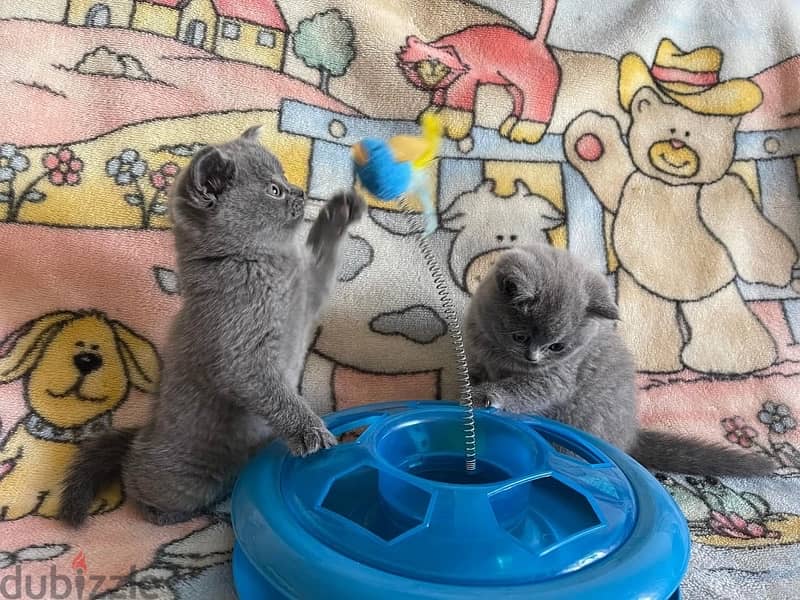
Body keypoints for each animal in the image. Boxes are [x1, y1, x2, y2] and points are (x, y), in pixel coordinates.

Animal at [59, 126, 366, 524]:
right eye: (274, 190)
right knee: (137, 479)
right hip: (180, 478)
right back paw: (173, 513)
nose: (299, 191)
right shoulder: (241, 355)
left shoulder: (308, 295)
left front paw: (340, 210)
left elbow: (324, 255)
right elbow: (277, 395)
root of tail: (143, 433)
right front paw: (310, 432)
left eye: (284, 178)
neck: (264, 264)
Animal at [468, 241, 776, 476]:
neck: (500, 356)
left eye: (557, 346)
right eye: (520, 337)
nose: (532, 358)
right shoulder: (480, 355)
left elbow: (528, 389)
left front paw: (485, 395)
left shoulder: (559, 376)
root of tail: (630, 439)